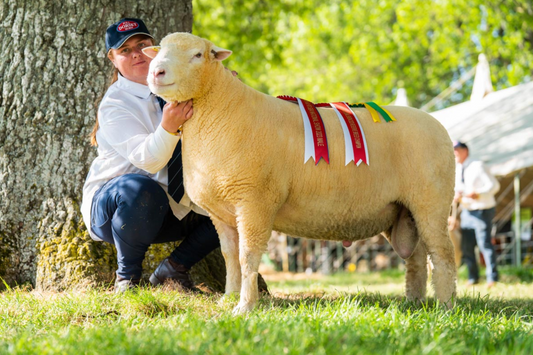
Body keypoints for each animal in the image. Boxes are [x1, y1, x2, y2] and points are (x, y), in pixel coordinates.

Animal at [143, 32, 456, 314]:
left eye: (197, 55)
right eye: (159, 50)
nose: (157, 71)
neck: (221, 110)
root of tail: (438, 125)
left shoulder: (255, 201)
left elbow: (247, 257)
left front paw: (244, 307)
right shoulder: (222, 214)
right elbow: (230, 256)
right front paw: (229, 298)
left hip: (432, 200)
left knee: (443, 254)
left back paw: (445, 305)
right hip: (405, 209)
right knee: (417, 258)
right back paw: (414, 302)